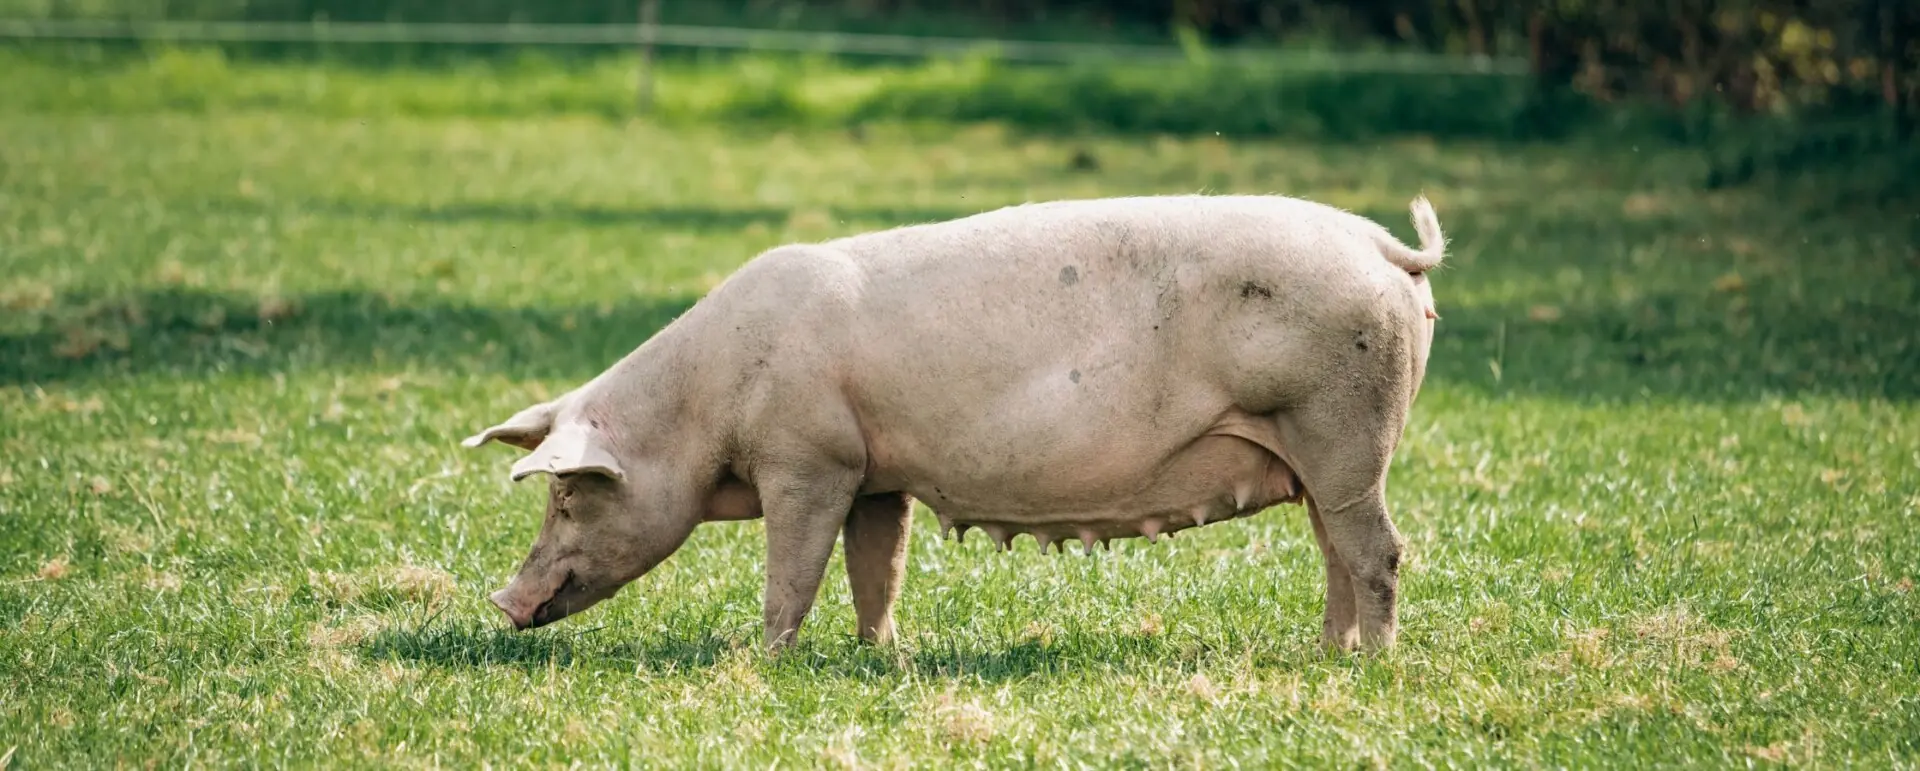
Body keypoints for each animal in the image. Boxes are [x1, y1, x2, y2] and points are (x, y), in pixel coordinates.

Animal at [463, 193, 1444, 654]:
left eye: (568, 499)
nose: (500, 601)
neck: (704, 407)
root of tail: (1383, 246)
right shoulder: (875, 472)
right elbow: (877, 566)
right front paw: (879, 653)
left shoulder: (808, 458)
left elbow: (795, 569)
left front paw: (765, 656)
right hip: (1316, 450)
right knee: (1336, 550)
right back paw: (1327, 652)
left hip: (1340, 428)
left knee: (1379, 550)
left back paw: (1372, 663)